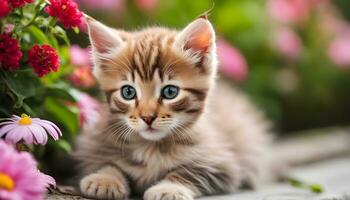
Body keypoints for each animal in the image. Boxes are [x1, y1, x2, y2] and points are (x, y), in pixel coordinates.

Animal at [73, 16, 270, 200]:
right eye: (128, 92)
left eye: (170, 92)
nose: (148, 117)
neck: (151, 147)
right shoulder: (91, 145)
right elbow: (106, 162)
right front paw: (104, 179)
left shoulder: (221, 163)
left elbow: (190, 172)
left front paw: (169, 188)